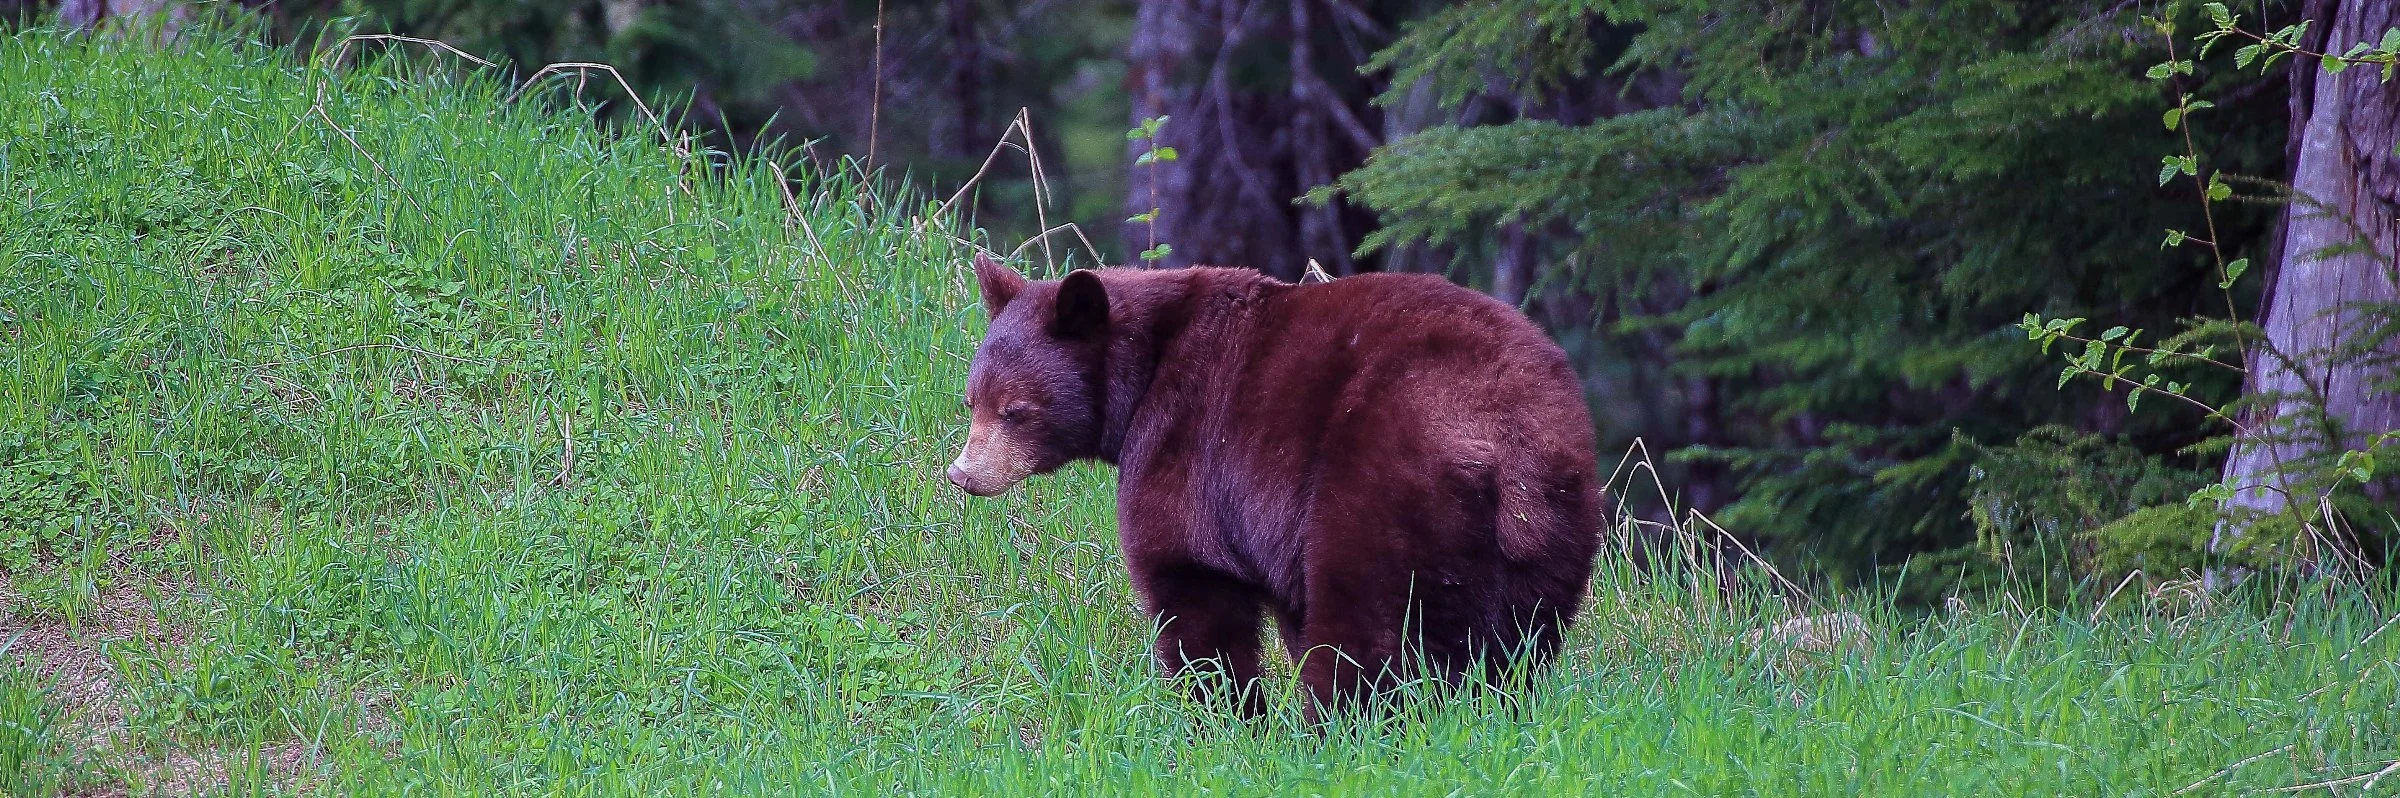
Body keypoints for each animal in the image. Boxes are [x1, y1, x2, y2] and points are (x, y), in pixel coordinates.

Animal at [946, 253, 1604, 717]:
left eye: (1015, 411)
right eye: (973, 400)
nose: (963, 474)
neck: (1144, 372)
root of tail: (1502, 439)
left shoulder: (1184, 444)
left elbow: (1192, 587)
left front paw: (1227, 717)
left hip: (1385, 483)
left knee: (1364, 624)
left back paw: (1338, 729)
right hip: (1555, 523)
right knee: (1519, 641)